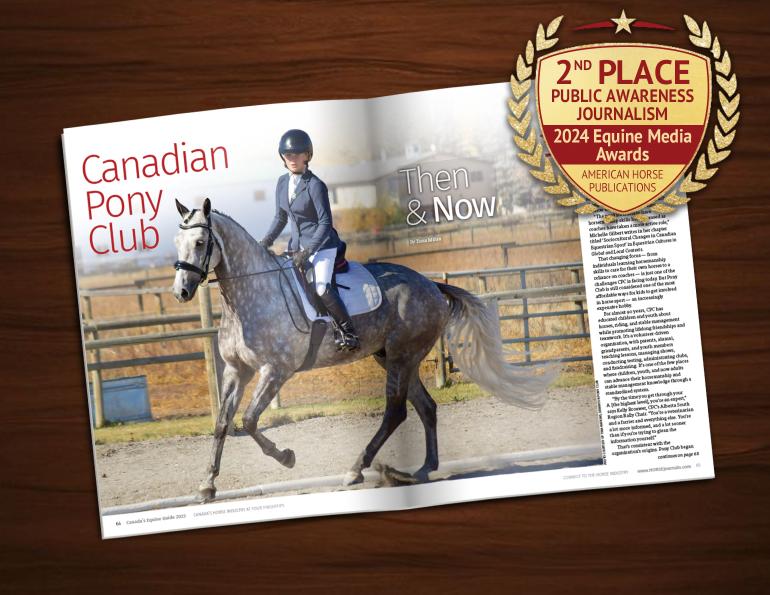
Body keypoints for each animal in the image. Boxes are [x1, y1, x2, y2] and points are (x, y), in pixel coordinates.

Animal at [172, 198, 555, 502]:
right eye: (176, 242)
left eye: (201, 242)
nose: (181, 292)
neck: (249, 296)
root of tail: (431, 284)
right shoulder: (237, 370)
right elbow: (222, 423)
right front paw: (207, 486)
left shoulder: (276, 371)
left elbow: (249, 421)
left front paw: (287, 457)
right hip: (392, 357)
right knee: (425, 407)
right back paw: (423, 469)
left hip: (401, 356)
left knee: (395, 412)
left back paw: (356, 469)